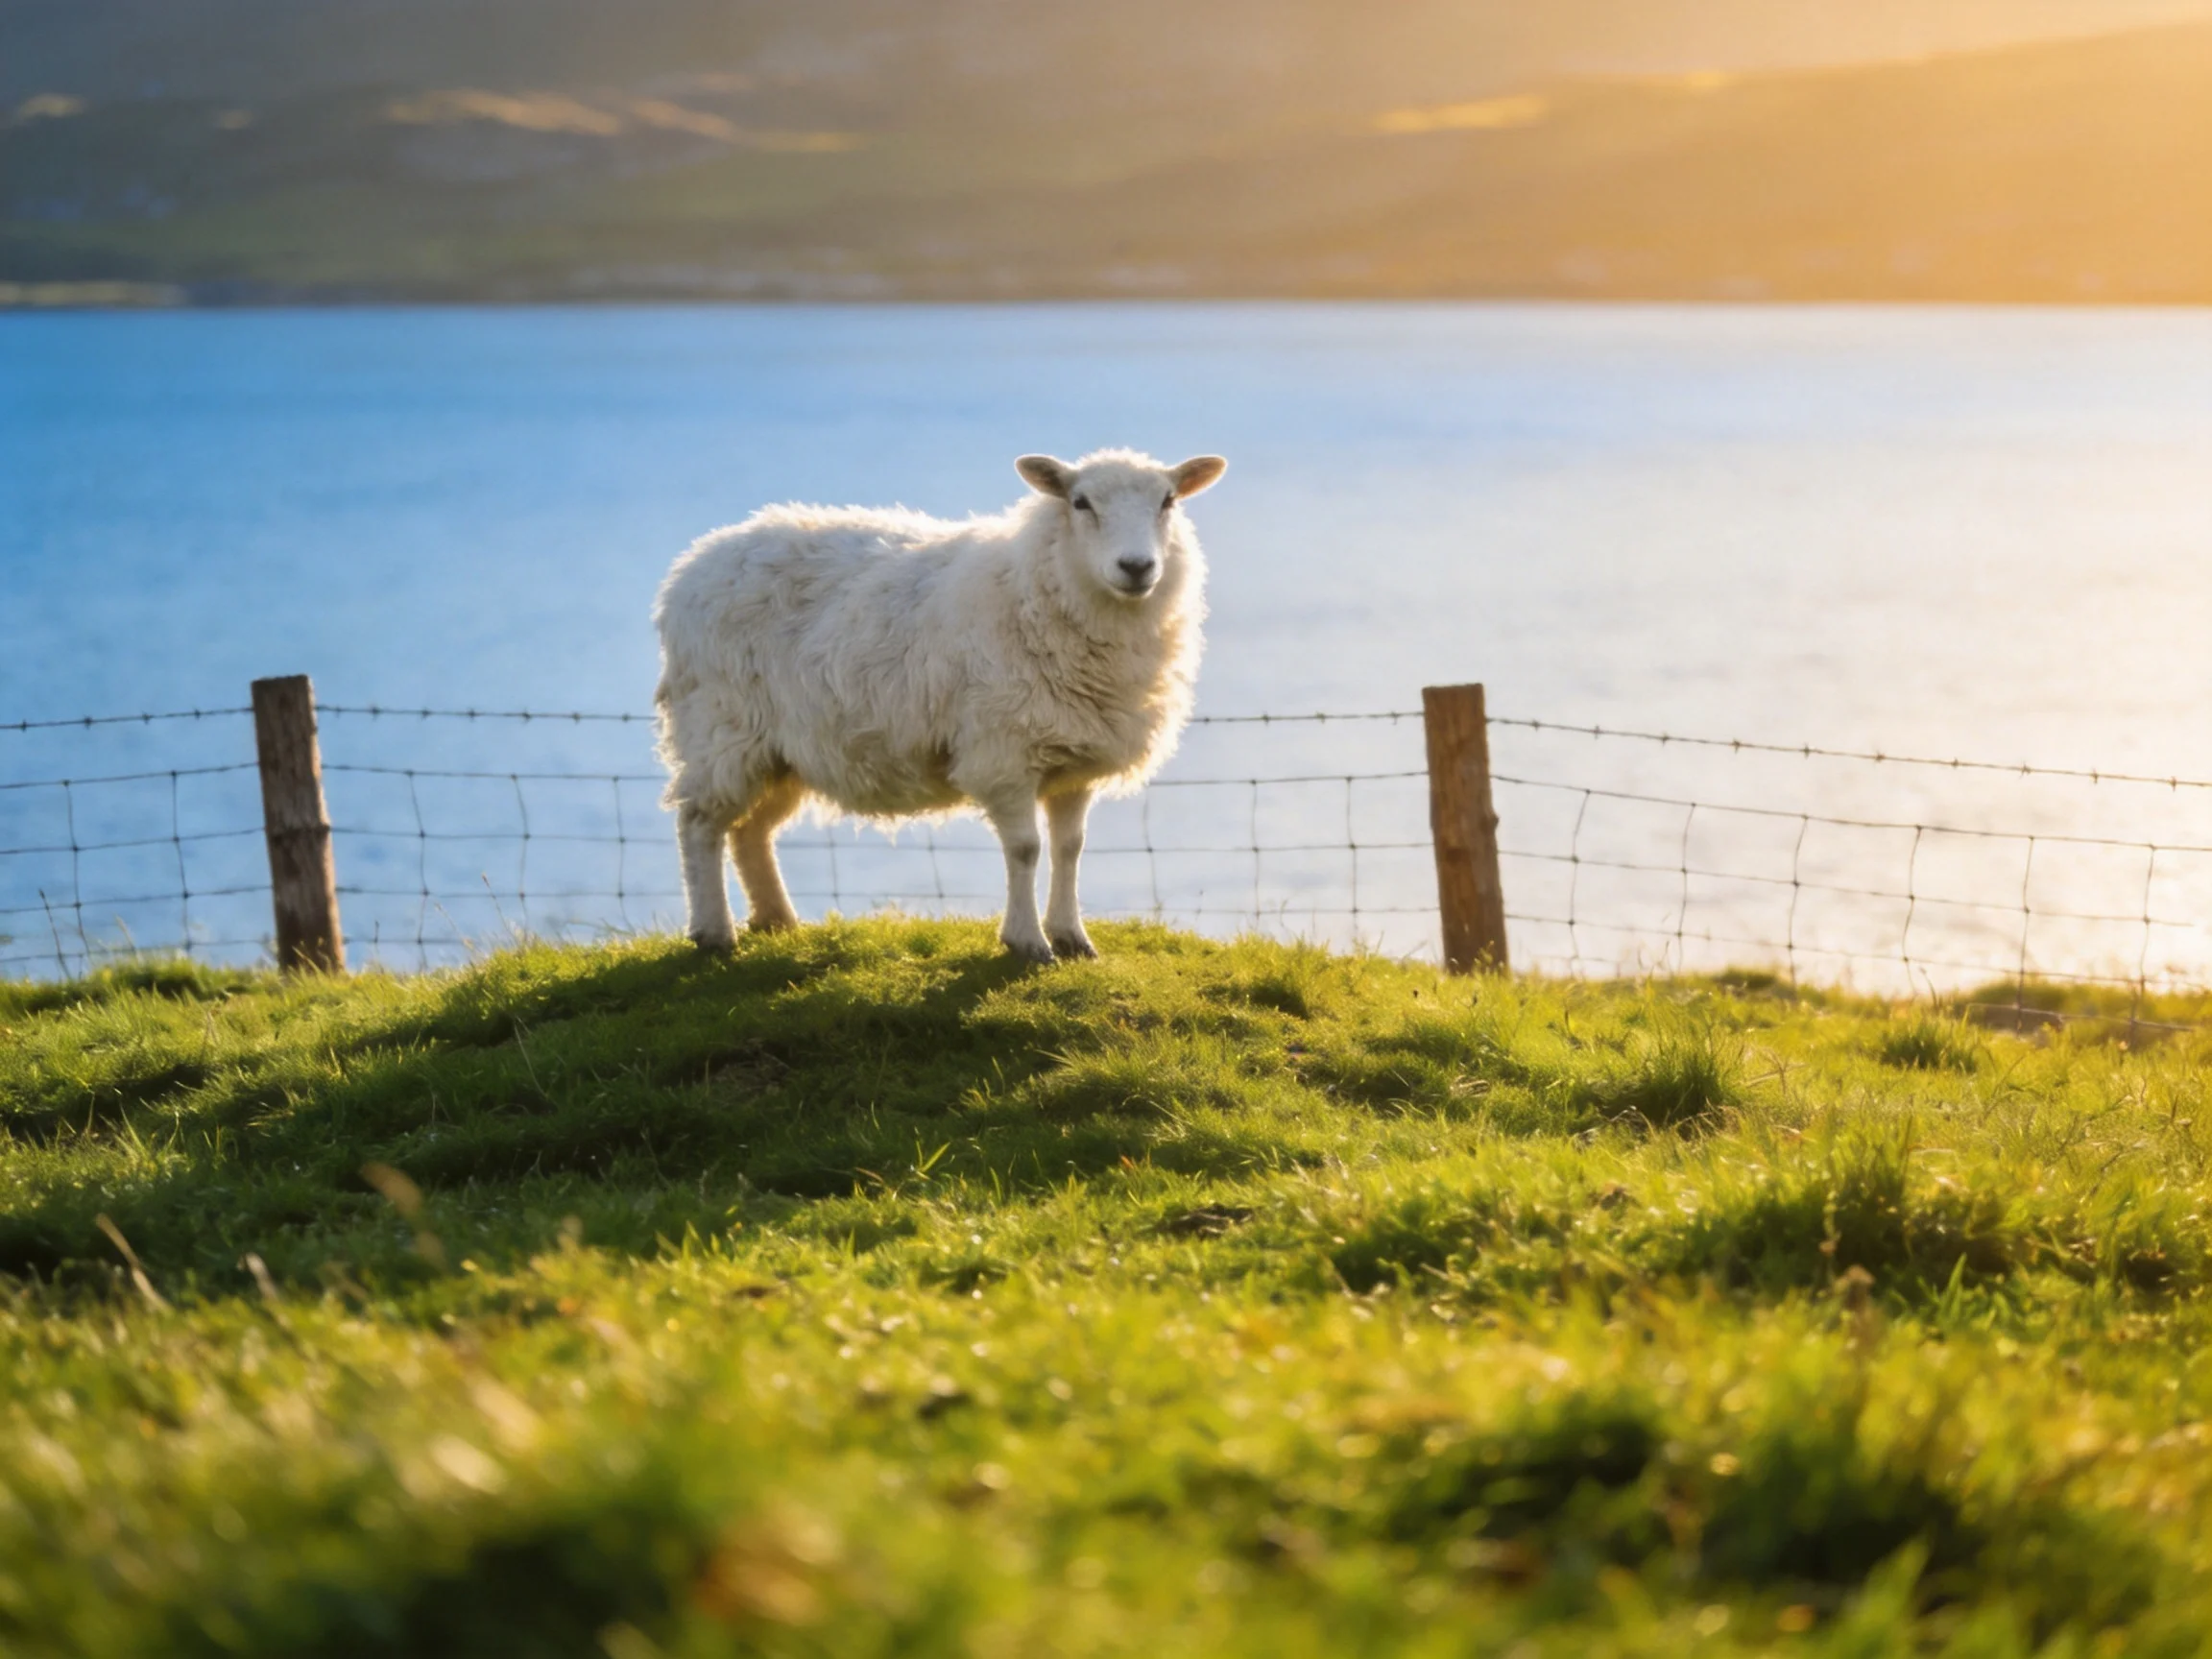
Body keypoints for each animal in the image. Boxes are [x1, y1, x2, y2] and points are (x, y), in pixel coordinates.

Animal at [653, 448, 1227, 963]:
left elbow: (1071, 848)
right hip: (722, 726)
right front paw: (1028, 944)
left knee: (750, 830)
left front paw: (1072, 938)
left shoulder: (1073, 759)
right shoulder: (1003, 753)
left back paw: (777, 920)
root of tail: (692, 564)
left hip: (781, 749)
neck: (1034, 587)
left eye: (1168, 501)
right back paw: (714, 932)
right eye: (1081, 502)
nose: (1137, 567)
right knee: (699, 824)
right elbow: (1026, 849)